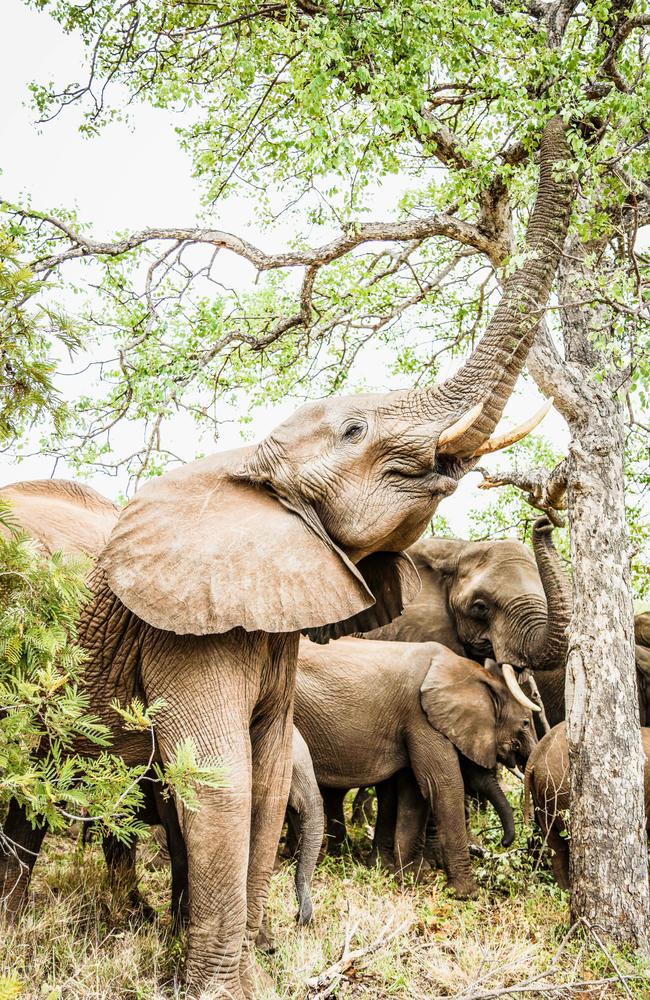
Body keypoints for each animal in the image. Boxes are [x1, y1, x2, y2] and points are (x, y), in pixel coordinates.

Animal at [294, 636, 536, 904]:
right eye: (525, 723)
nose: (505, 842)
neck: (475, 673)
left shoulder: (411, 725)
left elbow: (415, 793)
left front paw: (407, 875)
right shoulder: (421, 719)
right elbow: (442, 786)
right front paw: (466, 894)